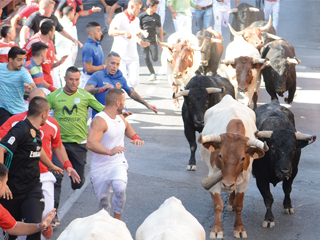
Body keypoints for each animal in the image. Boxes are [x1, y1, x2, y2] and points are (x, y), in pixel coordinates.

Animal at [200, 95, 268, 238]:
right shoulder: (213, 175)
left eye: (243, 158)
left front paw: (239, 228)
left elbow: (239, 205)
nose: (227, 184)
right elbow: (218, 205)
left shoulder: (245, 179)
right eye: (220, 155)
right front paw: (216, 230)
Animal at [254, 101, 316, 229]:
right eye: (273, 148)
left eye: (293, 149)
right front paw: (269, 219)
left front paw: (287, 206)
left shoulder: (293, 172)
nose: (284, 171)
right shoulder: (260, 177)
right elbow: (268, 198)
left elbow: (287, 189)